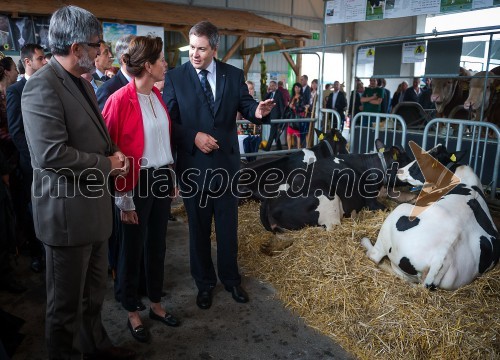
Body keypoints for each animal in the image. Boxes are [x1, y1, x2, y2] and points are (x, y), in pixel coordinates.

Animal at [362, 143, 498, 290]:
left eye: (421, 160)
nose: (400, 171)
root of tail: (441, 256)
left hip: (396, 216)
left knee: (374, 256)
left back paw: (365, 242)